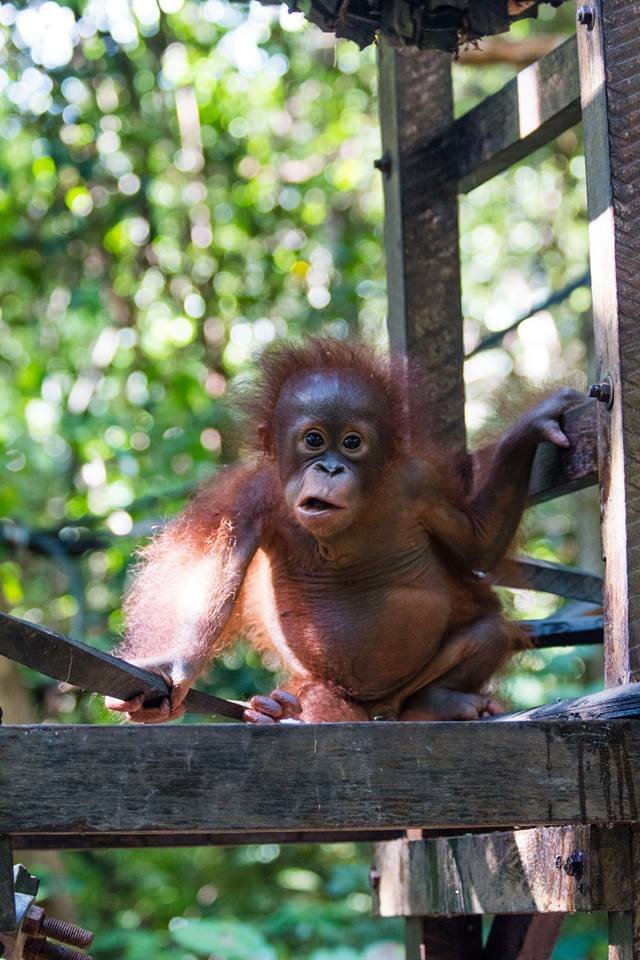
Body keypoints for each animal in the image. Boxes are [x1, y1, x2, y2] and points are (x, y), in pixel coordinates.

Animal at [105, 339, 583, 725]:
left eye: (352, 442)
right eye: (314, 439)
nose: (331, 468)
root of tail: (380, 709)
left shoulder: (419, 483)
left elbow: (477, 546)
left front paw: (530, 428)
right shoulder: (253, 495)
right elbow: (214, 568)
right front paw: (168, 670)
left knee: (489, 632)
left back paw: (436, 703)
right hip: (326, 688)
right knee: (319, 700)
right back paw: (278, 711)